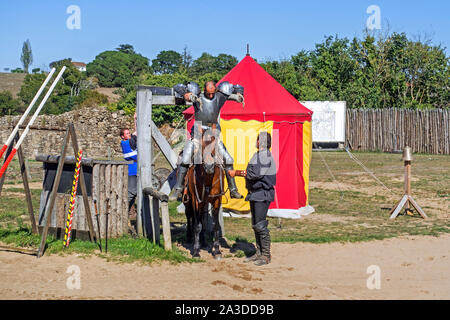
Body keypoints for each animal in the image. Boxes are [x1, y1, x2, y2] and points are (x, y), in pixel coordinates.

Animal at [183, 126, 225, 258]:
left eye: (214, 146)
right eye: (201, 146)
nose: (209, 166)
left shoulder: (216, 200)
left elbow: (215, 225)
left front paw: (216, 249)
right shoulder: (196, 200)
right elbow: (197, 225)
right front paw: (196, 250)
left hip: (204, 203)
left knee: (202, 218)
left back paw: (203, 241)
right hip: (189, 201)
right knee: (190, 216)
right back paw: (189, 237)